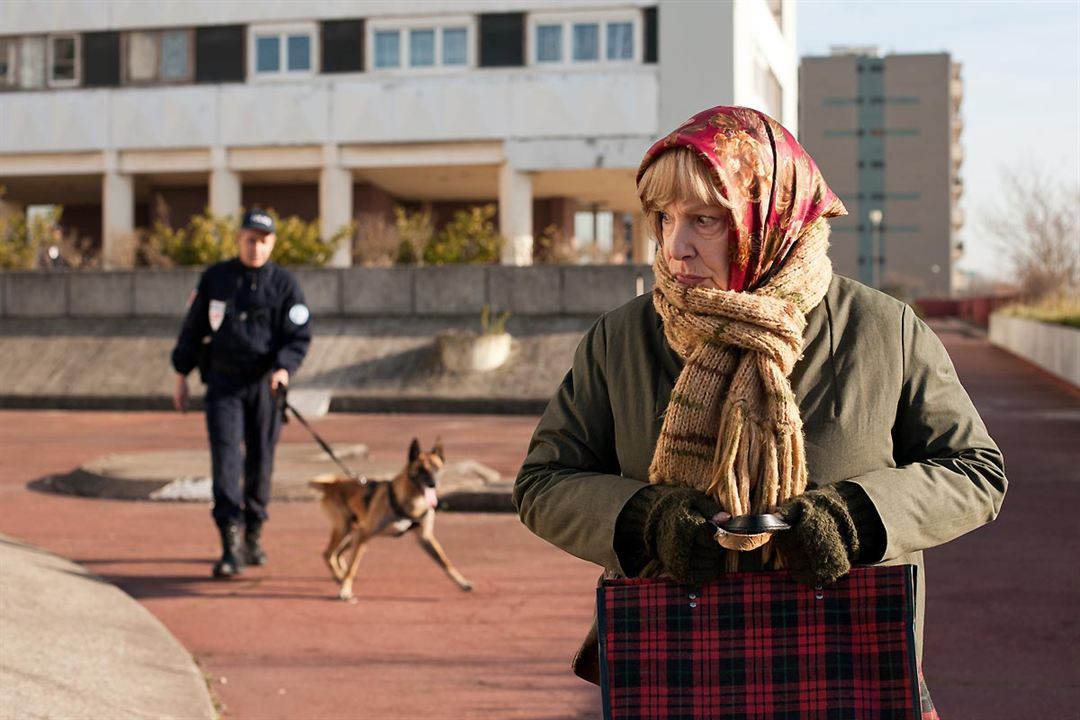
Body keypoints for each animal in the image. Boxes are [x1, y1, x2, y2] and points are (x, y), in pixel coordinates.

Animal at [306, 436, 470, 600]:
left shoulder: (425, 537)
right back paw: (340, 576)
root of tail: (332, 484)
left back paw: (339, 574)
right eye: (421, 469)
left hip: (354, 533)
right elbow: (353, 566)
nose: (433, 484)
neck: (412, 501)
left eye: (436, 468)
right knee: (328, 554)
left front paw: (462, 582)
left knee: (337, 553)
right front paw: (345, 590)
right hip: (346, 529)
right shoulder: (365, 535)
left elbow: (445, 562)